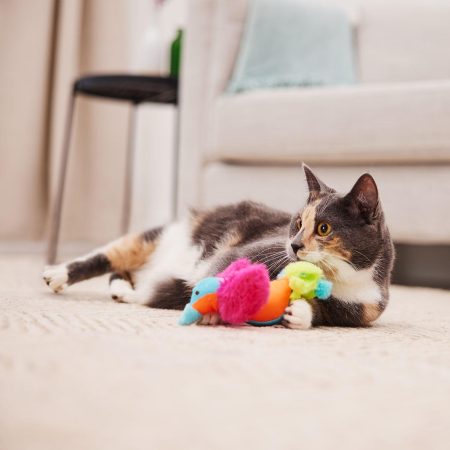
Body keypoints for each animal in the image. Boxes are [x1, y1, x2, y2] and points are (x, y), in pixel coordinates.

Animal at [42, 163, 394, 328]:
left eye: (323, 228)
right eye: (297, 223)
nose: (293, 246)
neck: (340, 277)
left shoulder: (363, 308)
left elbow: (326, 311)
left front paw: (300, 313)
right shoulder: (243, 252)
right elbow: (218, 274)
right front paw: (213, 307)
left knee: (125, 274)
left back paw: (124, 291)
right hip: (161, 236)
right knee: (109, 256)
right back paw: (57, 274)